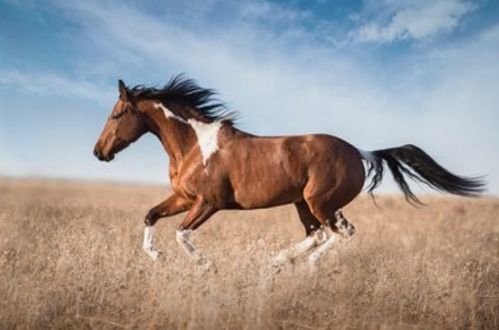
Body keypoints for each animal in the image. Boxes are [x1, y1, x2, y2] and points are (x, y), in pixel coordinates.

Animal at [93, 75, 484, 268]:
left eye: (117, 114)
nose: (98, 152)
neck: (194, 145)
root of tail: (359, 152)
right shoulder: (183, 197)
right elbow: (150, 216)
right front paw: (156, 257)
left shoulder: (208, 202)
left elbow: (181, 234)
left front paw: (205, 265)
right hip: (303, 204)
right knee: (319, 234)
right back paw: (279, 260)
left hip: (320, 202)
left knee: (340, 233)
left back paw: (306, 265)